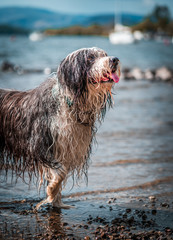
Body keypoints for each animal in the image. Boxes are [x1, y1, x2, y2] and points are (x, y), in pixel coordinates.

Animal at [0, 47, 120, 208]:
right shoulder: (39, 143)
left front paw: (57, 202)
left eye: (105, 55)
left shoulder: (68, 147)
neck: (70, 103)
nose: (114, 59)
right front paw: (51, 191)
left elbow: (62, 173)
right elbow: (60, 172)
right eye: (90, 58)